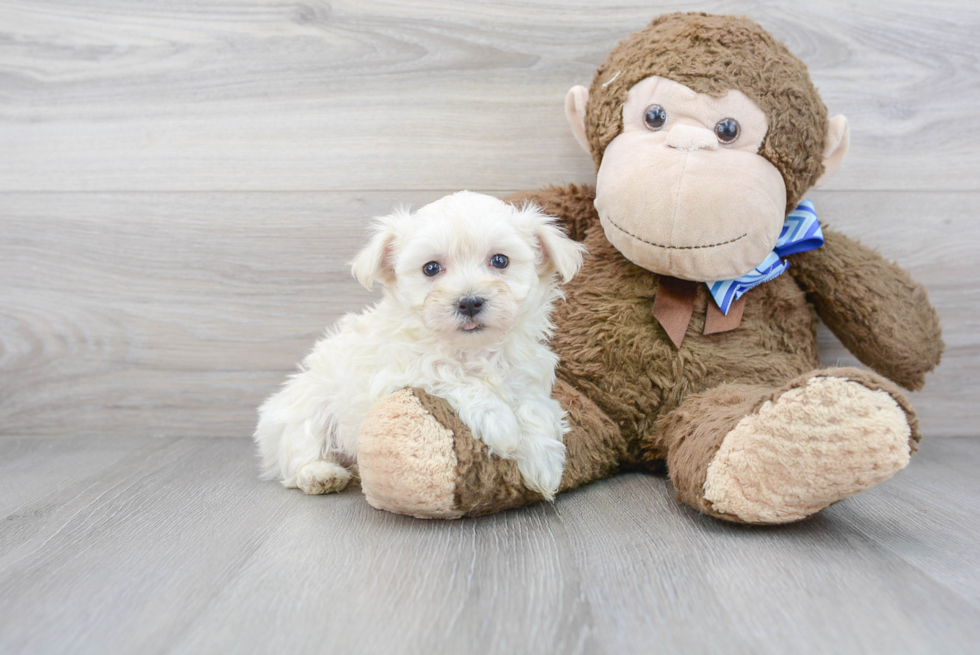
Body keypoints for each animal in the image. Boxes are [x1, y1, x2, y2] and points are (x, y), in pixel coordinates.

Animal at [256, 192, 584, 500]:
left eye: (500, 261)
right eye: (431, 268)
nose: (469, 301)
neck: (473, 349)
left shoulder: (527, 376)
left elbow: (534, 407)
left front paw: (544, 460)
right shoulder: (400, 374)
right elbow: (451, 375)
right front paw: (500, 424)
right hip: (308, 405)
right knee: (300, 451)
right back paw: (321, 474)